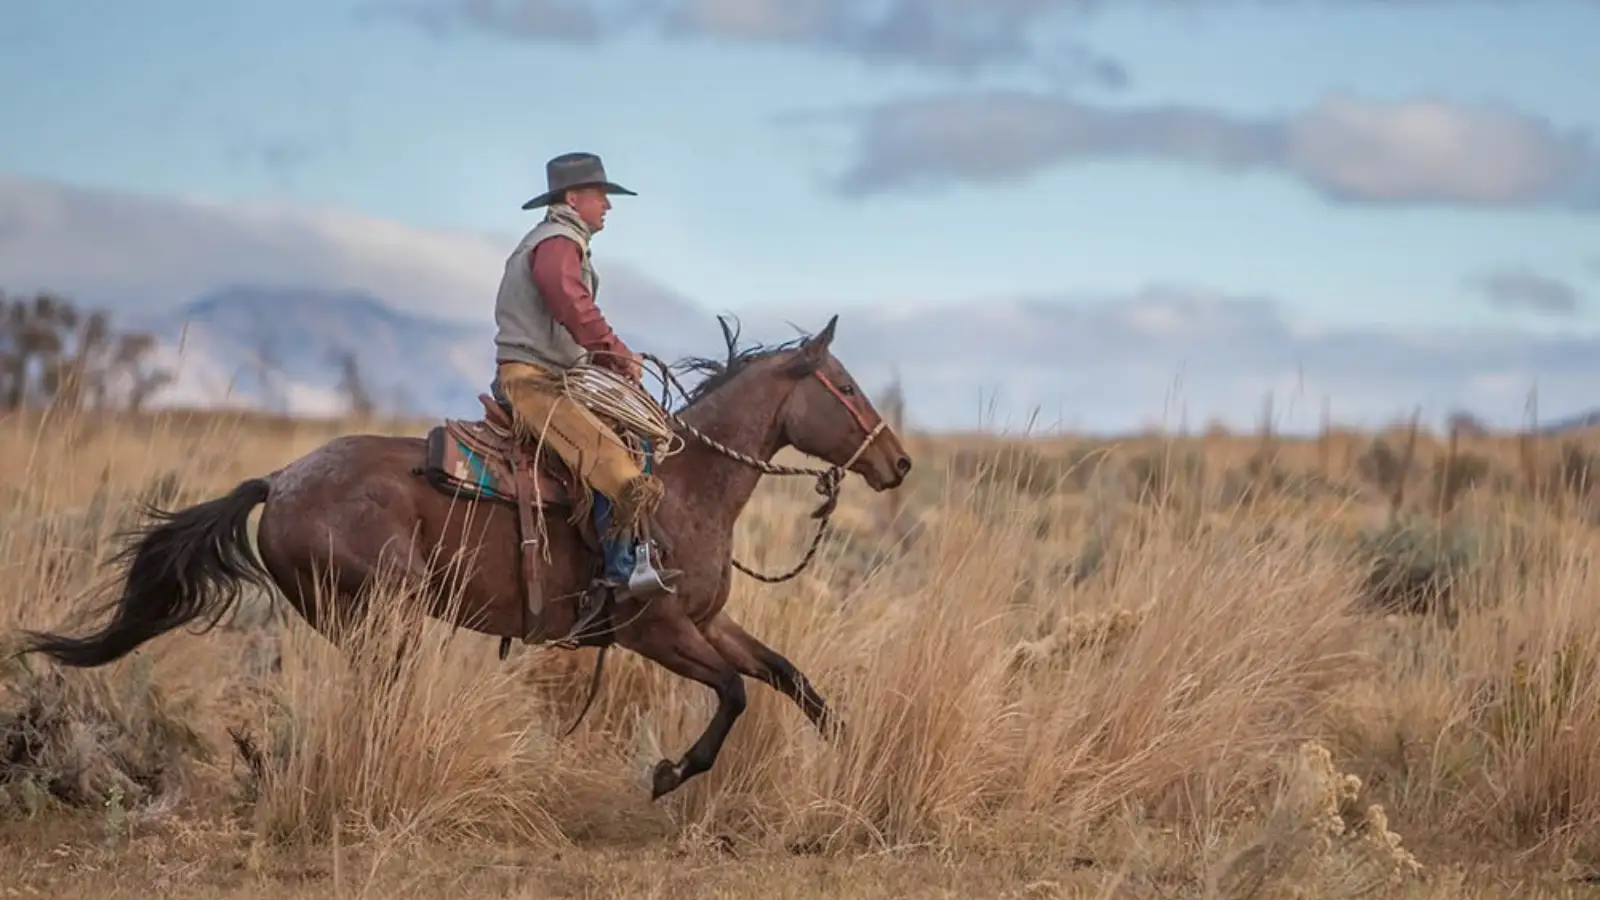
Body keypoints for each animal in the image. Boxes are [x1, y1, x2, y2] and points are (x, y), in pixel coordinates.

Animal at [12, 315, 915, 797]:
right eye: (845, 387)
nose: (898, 461)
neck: (686, 486)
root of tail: (281, 479)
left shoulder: (706, 621)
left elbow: (787, 677)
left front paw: (852, 752)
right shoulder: (651, 631)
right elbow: (733, 692)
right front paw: (669, 774)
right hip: (381, 615)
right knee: (376, 695)